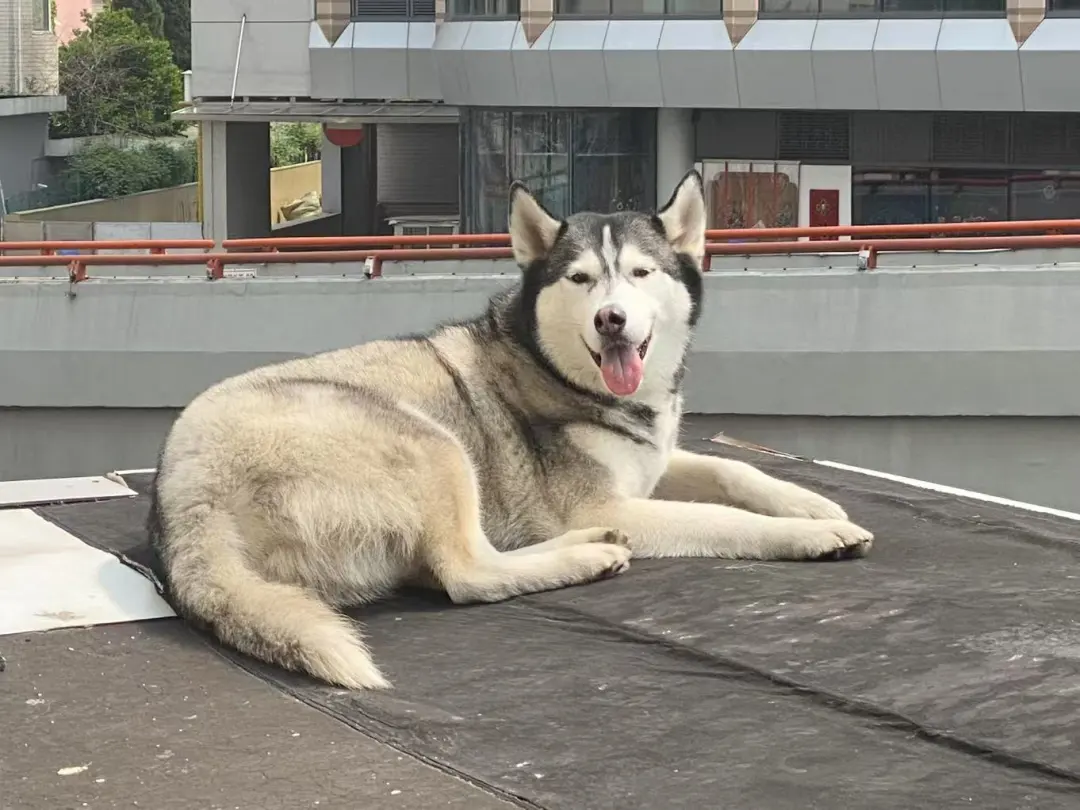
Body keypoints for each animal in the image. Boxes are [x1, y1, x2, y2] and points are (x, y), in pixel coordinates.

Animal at [147, 170, 873, 690]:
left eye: (642, 272)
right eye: (580, 279)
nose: (611, 319)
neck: (555, 368)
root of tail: (185, 498)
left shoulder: (652, 461)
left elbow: (734, 467)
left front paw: (810, 503)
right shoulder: (608, 499)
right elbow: (723, 520)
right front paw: (811, 536)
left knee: (446, 567)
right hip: (430, 441)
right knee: (467, 573)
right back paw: (585, 552)